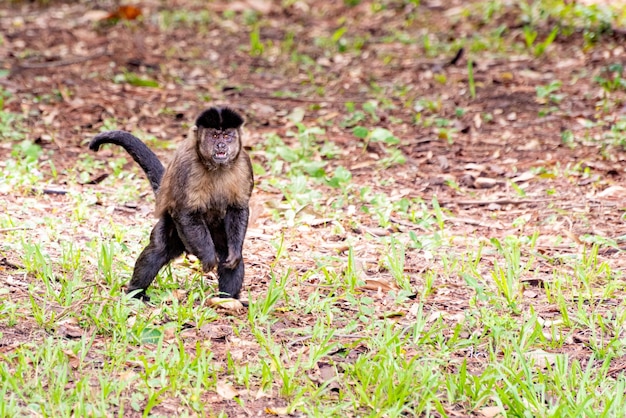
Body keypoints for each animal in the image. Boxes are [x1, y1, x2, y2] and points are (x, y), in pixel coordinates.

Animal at [88, 105, 254, 300]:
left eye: (227, 135)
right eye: (214, 135)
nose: (221, 145)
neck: (216, 167)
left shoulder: (244, 163)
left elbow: (238, 208)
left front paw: (234, 253)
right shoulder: (187, 165)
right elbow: (185, 211)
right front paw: (208, 258)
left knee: (232, 258)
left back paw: (227, 300)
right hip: (175, 228)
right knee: (157, 251)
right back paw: (136, 293)